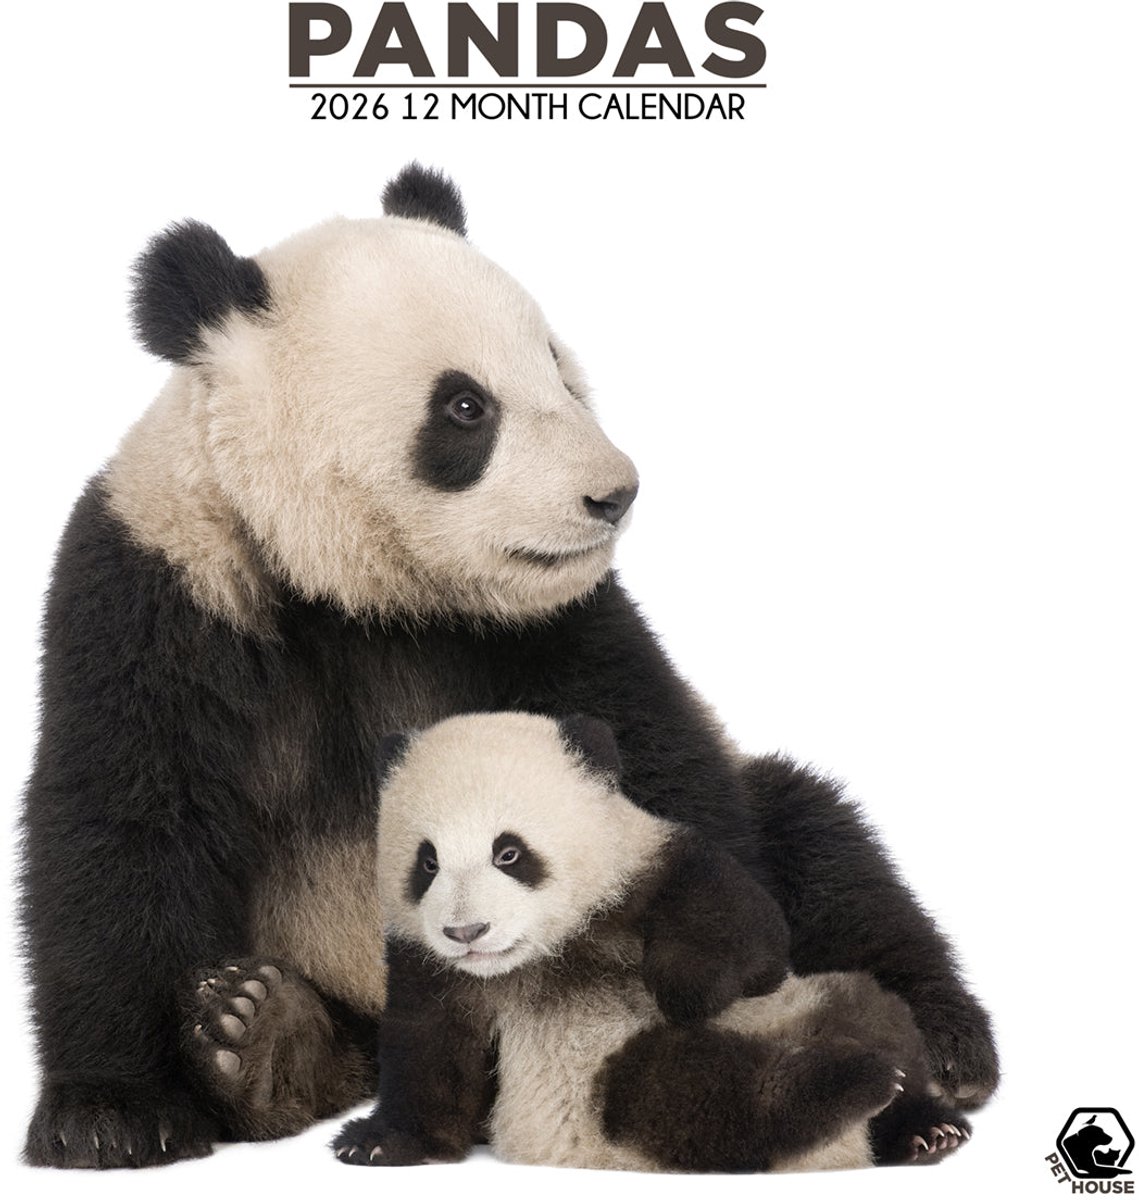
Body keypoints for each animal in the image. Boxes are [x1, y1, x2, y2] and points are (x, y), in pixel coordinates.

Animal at [333, 712, 971, 1172]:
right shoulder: (433, 970)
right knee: (695, 1101)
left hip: (800, 1004)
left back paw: (919, 1120)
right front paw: (376, 1142)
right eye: (428, 862)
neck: (547, 952)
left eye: (508, 852)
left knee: (870, 1008)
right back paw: (849, 1083)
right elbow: (429, 1057)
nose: (466, 933)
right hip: (617, 1090)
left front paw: (684, 988)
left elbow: (750, 930)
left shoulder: (644, 864)